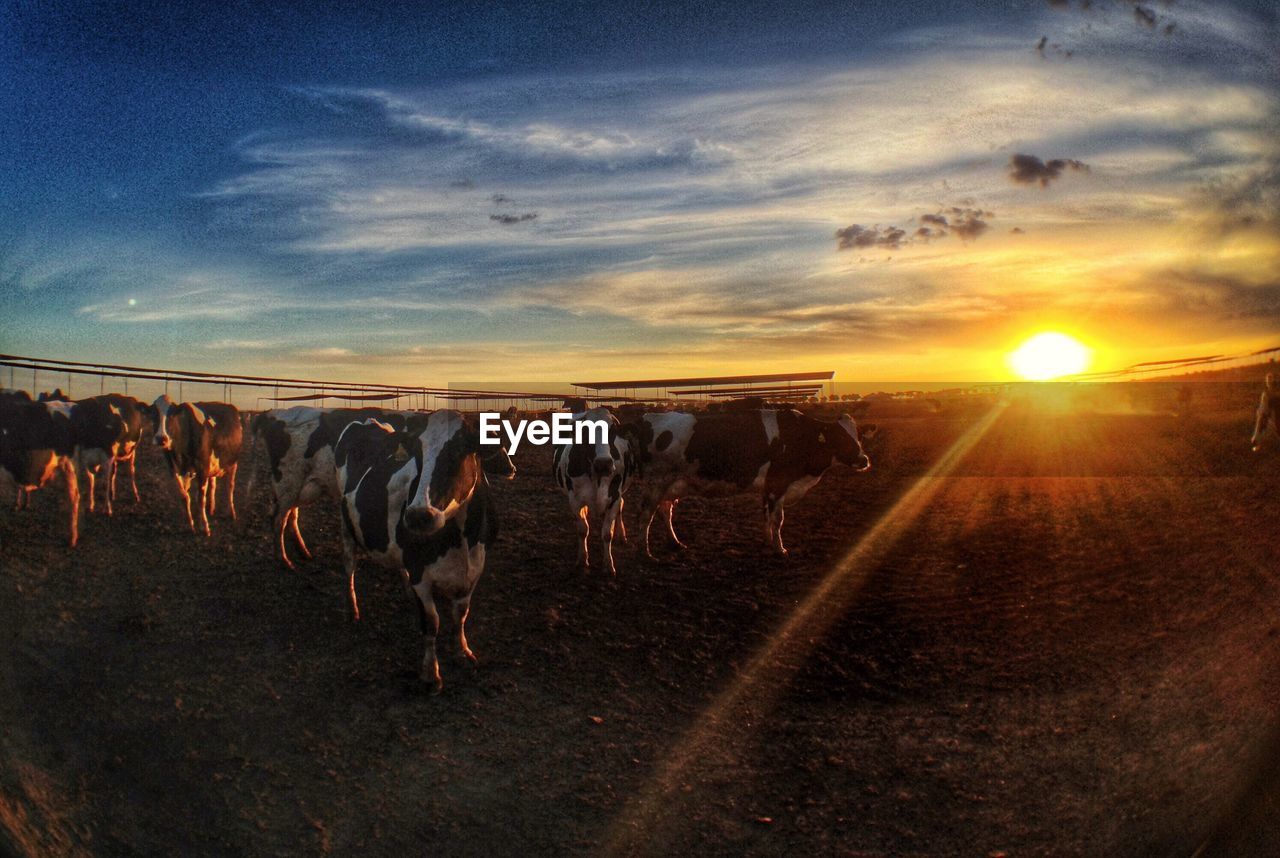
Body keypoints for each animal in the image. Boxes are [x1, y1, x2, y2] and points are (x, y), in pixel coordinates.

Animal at [152, 396, 241, 537]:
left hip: (233, 463)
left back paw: (231, 512)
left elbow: (200, 499)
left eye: (171, 415)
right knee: (213, 484)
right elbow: (184, 496)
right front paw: (191, 525)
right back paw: (211, 508)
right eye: (153, 413)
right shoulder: (173, 469)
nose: (161, 438)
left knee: (230, 486)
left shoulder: (202, 469)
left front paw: (205, 527)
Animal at [247, 407, 512, 571]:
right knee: (278, 519)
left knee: (291, 514)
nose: (512, 468)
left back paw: (303, 552)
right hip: (287, 482)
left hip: (299, 485)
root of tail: (272, 414)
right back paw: (284, 561)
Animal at [332, 412, 496, 691]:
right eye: (417, 454)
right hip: (346, 525)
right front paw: (431, 674)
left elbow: (460, 615)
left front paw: (463, 651)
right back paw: (352, 607)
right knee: (349, 565)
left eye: (459, 450)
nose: (419, 516)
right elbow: (431, 622)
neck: (460, 542)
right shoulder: (421, 573)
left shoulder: (474, 571)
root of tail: (366, 422)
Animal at [632, 409, 875, 558]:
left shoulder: (768, 487)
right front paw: (780, 549)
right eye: (841, 438)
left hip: (670, 484)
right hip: (656, 482)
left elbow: (766, 515)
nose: (864, 460)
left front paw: (768, 540)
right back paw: (644, 551)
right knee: (645, 515)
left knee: (665, 511)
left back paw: (675, 543)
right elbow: (778, 519)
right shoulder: (779, 484)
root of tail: (646, 418)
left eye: (859, 436)